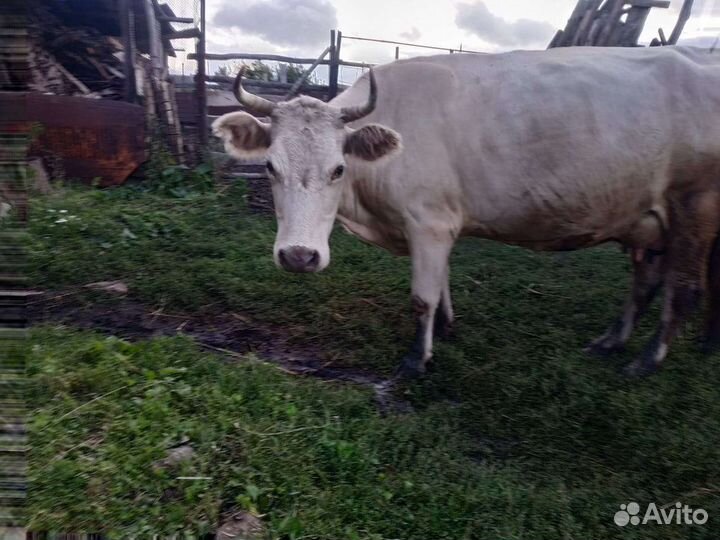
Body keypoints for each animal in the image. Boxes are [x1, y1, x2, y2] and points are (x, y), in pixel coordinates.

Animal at [213, 46, 720, 378]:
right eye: (270, 166)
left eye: (338, 168)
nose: (299, 256)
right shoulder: (440, 222)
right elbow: (442, 283)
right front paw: (446, 326)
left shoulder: (429, 221)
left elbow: (423, 294)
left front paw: (417, 359)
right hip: (649, 221)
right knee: (646, 283)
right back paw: (612, 342)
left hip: (695, 209)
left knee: (686, 291)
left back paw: (645, 361)